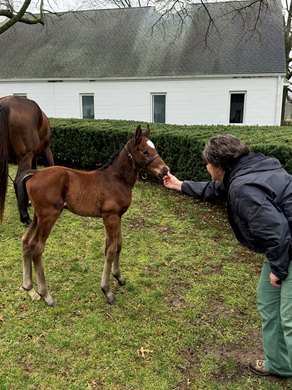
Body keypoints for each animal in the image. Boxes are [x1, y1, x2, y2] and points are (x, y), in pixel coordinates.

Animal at [0, 95, 53, 225]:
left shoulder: (33, 156)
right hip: (26, 156)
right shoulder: (46, 150)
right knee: (18, 181)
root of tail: (6, 103)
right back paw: (25, 217)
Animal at [21, 125, 169, 304]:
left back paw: (30, 289)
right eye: (145, 151)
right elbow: (111, 249)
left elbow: (117, 244)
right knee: (37, 247)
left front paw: (118, 277)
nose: (165, 170)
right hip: (49, 215)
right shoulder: (110, 217)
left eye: (155, 148)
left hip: (37, 215)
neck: (117, 179)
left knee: (26, 240)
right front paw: (107, 291)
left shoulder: (117, 216)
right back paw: (46, 295)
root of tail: (34, 174)